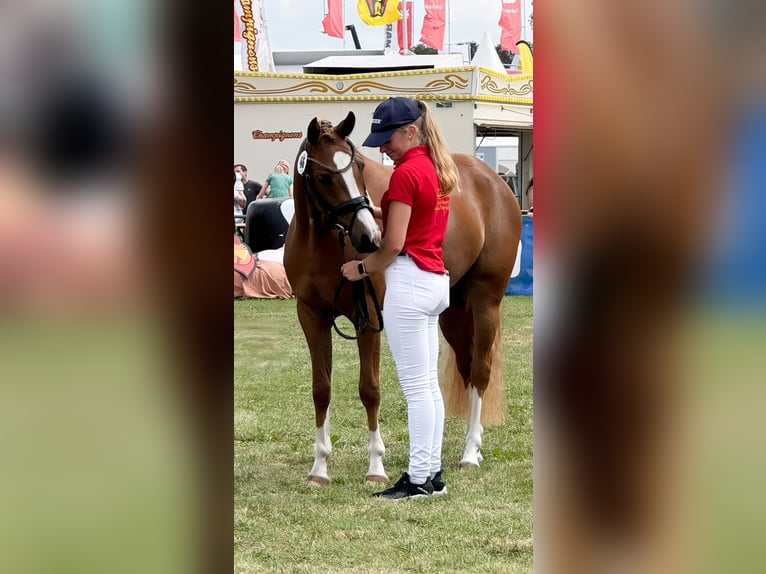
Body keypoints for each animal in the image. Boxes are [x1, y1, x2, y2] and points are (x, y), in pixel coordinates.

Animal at [284, 111, 524, 486]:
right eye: (323, 176)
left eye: (359, 168)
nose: (370, 237)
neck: (323, 244)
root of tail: (495, 183)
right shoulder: (311, 316)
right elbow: (321, 389)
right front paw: (319, 469)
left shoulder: (367, 318)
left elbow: (369, 389)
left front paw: (375, 468)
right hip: (453, 313)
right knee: (467, 369)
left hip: (486, 302)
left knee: (481, 372)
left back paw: (470, 453)